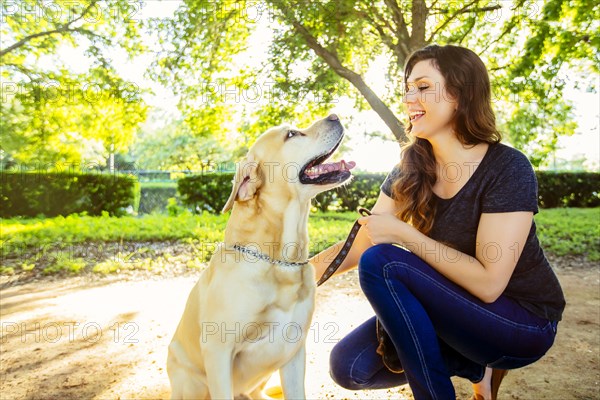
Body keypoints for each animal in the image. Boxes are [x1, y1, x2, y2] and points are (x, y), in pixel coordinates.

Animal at [168, 114, 356, 398]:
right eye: (291, 134)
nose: (334, 115)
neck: (279, 260)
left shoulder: (294, 350)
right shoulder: (218, 351)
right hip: (190, 380)